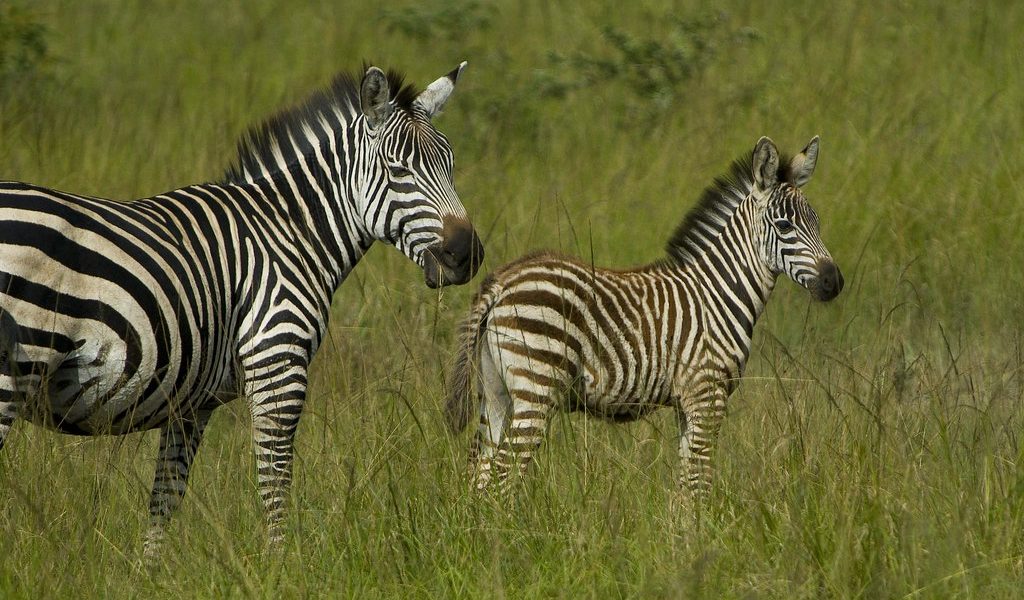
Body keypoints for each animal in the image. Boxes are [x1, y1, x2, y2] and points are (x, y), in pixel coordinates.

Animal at [446, 135, 839, 499]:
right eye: (784, 225)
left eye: (818, 222)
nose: (834, 282)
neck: (718, 292)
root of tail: (502, 281)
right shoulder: (707, 394)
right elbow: (699, 483)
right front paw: (702, 528)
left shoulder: (687, 402)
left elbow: (685, 483)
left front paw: (681, 529)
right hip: (536, 386)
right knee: (502, 479)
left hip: (496, 391)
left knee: (479, 477)